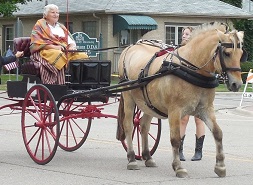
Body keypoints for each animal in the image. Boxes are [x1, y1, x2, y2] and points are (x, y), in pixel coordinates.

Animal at [116, 22, 247, 178]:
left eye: (241, 55)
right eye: (227, 53)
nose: (237, 84)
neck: (190, 68)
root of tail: (130, 47)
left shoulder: (205, 109)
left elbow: (218, 133)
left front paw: (220, 166)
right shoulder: (175, 111)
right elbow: (175, 139)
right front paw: (178, 167)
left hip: (148, 104)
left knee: (143, 126)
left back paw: (148, 157)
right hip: (128, 97)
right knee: (129, 126)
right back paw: (131, 159)